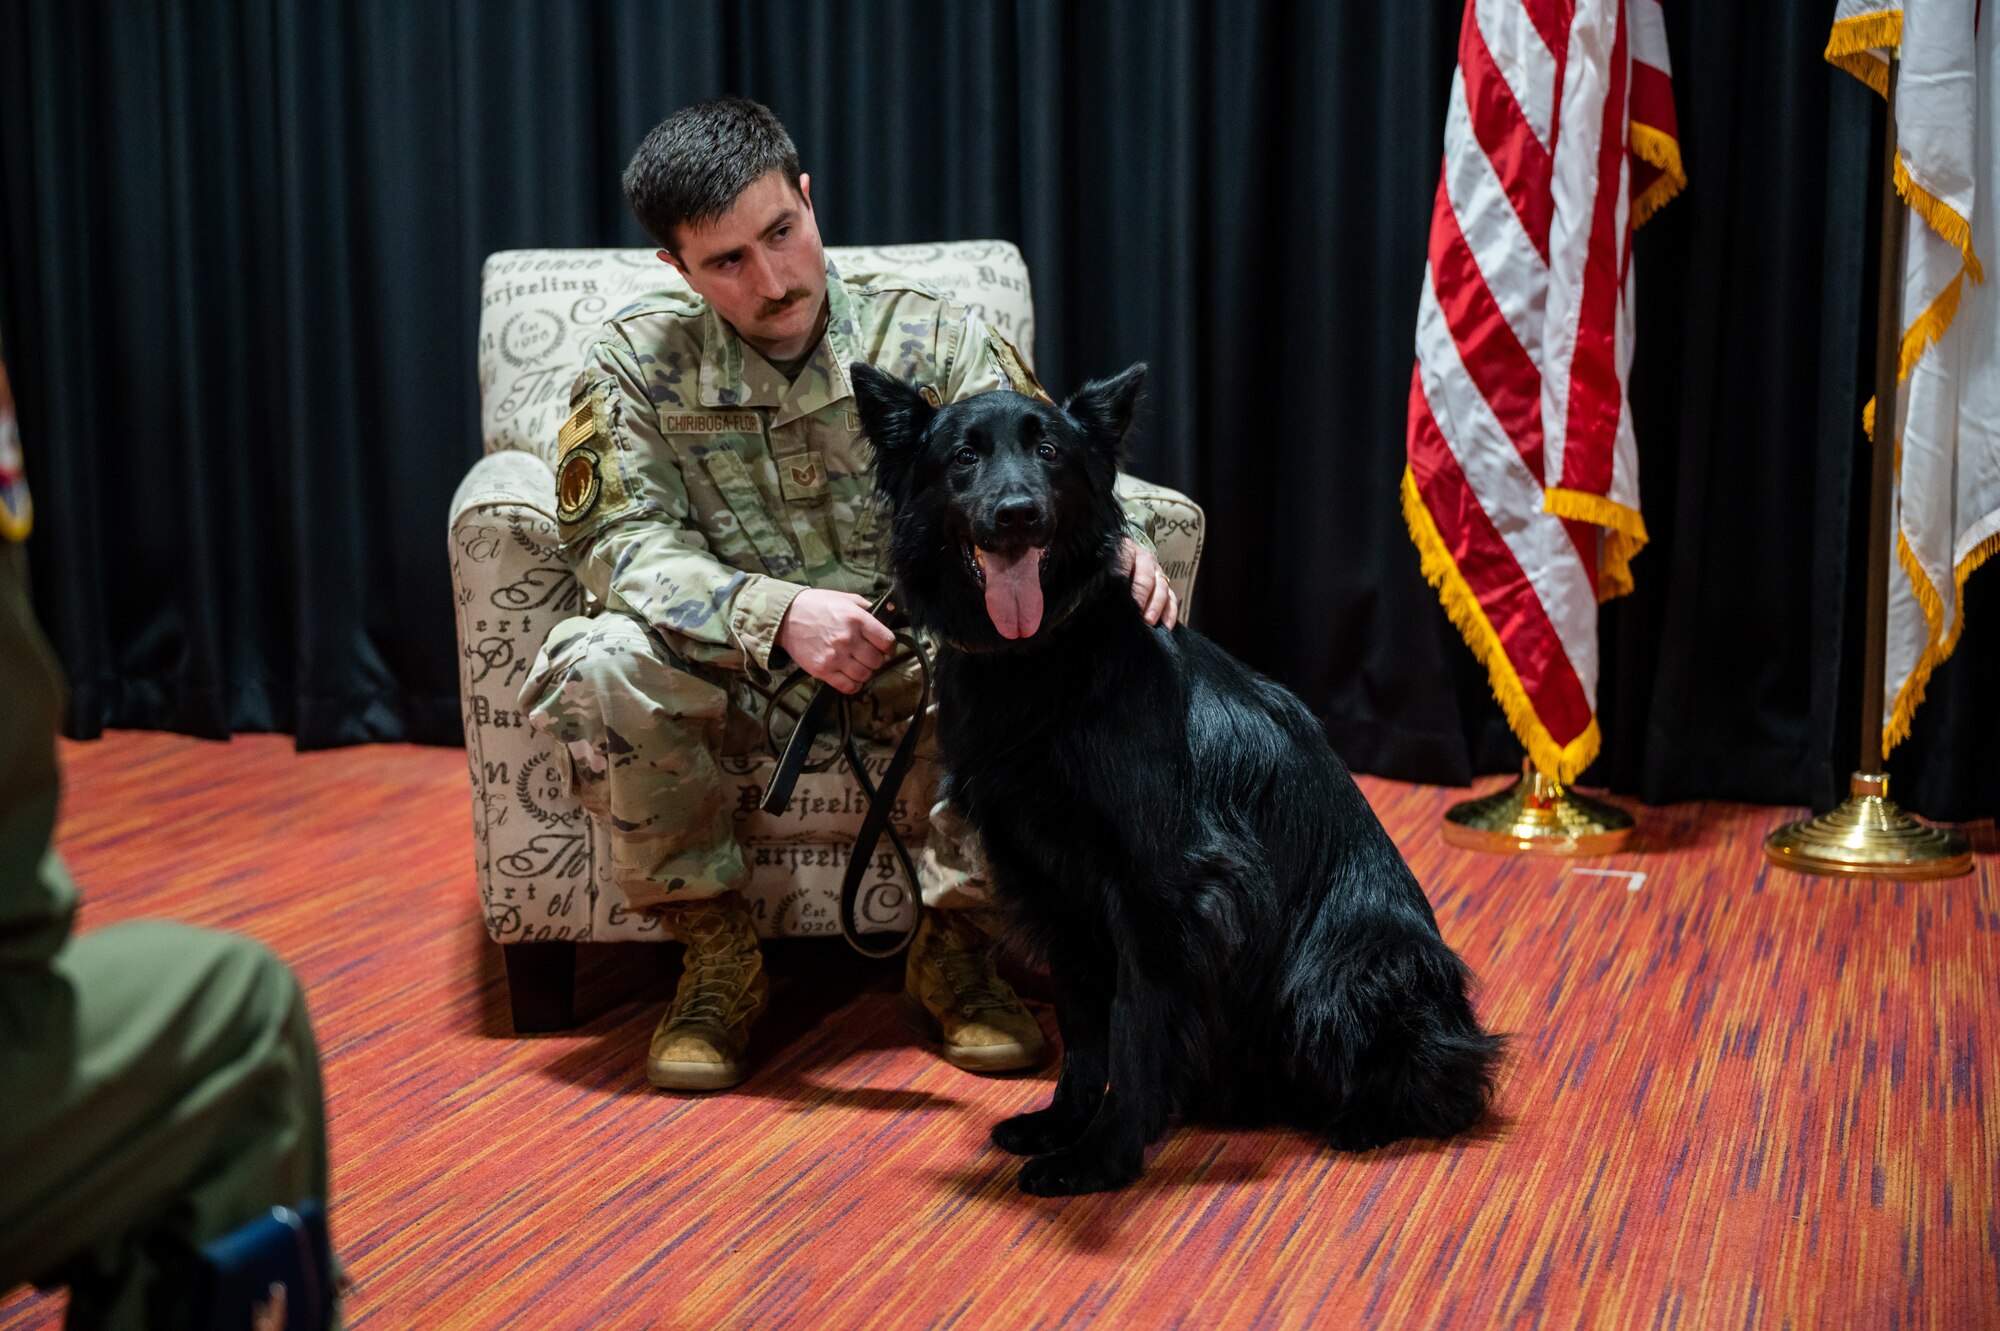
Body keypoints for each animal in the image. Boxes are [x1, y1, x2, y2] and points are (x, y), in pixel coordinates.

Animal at [848, 355, 1504, 1191]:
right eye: (964, 456)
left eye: (1050, 453)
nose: (1019, 514)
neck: (1048, 658)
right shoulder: (1055, 887)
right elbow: (1085, 1026)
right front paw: (1062, 1122)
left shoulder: (1163, 892)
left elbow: (1134, 1032)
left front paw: (1102, 1154)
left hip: (1346, 971)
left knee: (1446, 1077)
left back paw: (1363, 1118)